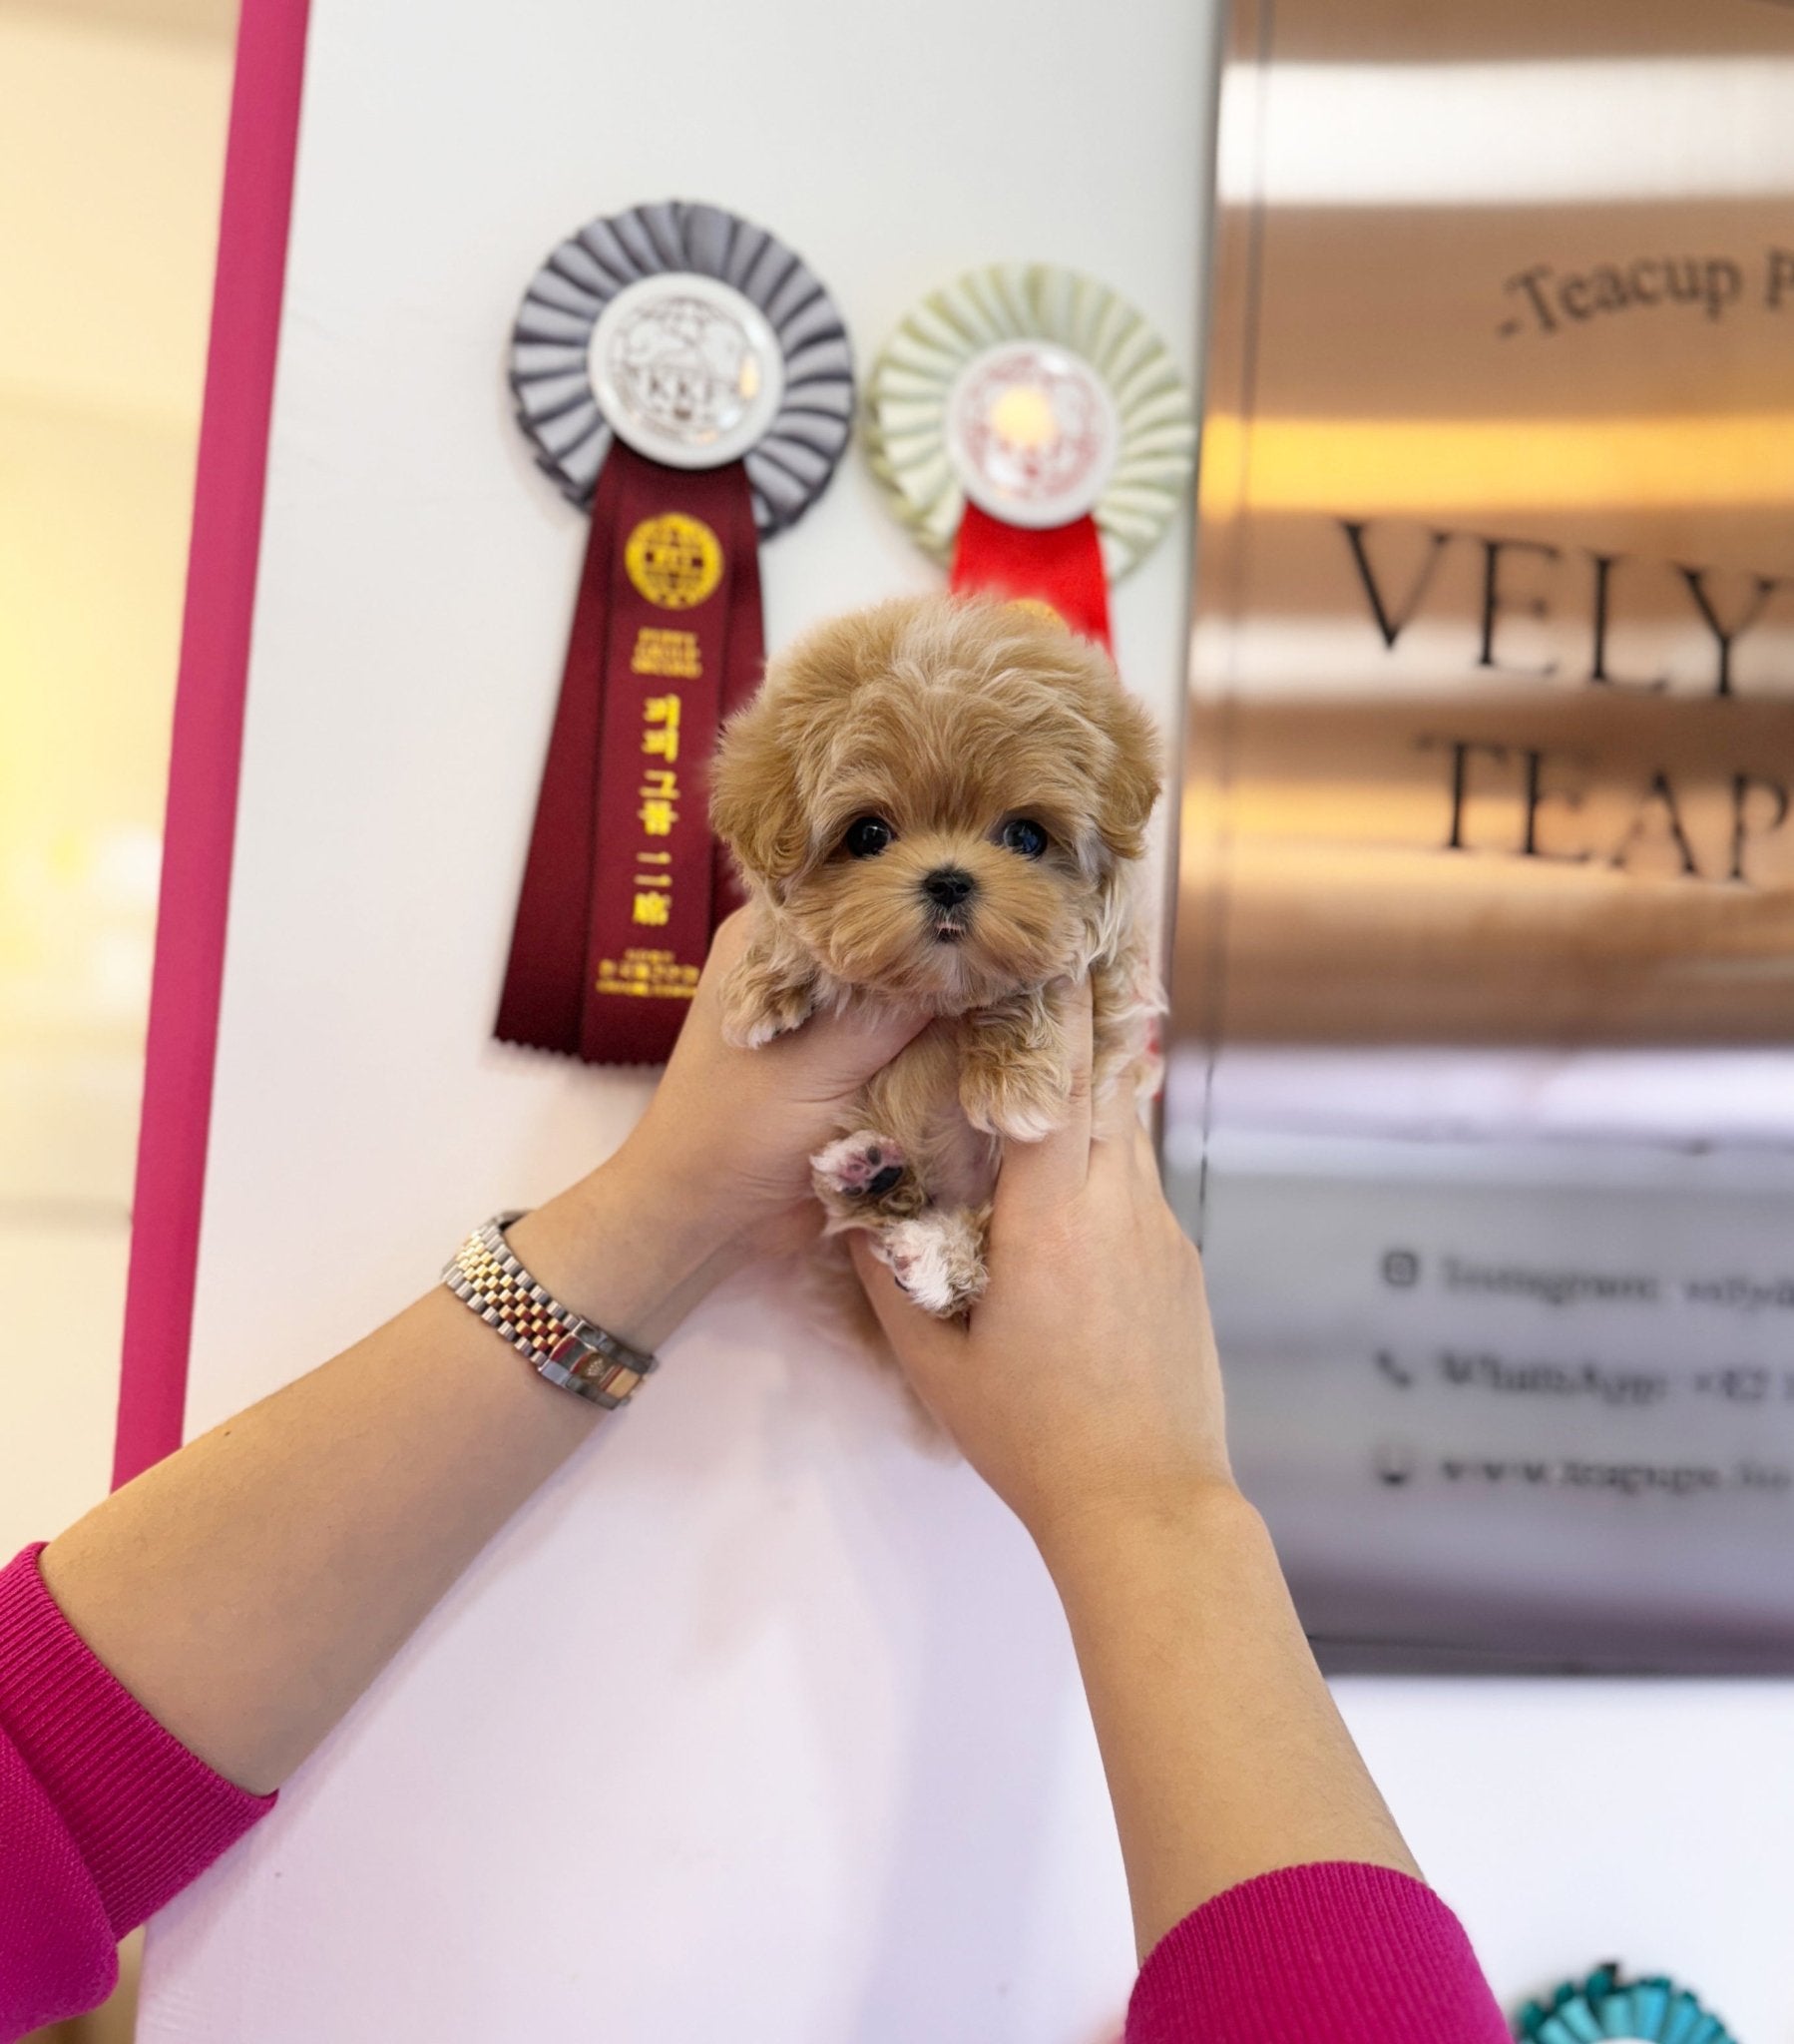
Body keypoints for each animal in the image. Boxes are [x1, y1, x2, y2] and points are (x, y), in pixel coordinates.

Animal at [714, 597, 1168, 1315]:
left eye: (1026, 836)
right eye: (868, 834)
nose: (949, 881)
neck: (943, 994)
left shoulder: (1117, 979)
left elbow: (1052, 973)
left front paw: (1013, 1079)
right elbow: (783, 923)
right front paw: (763, 984)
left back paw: (935, 1256)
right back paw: (869, 1180)